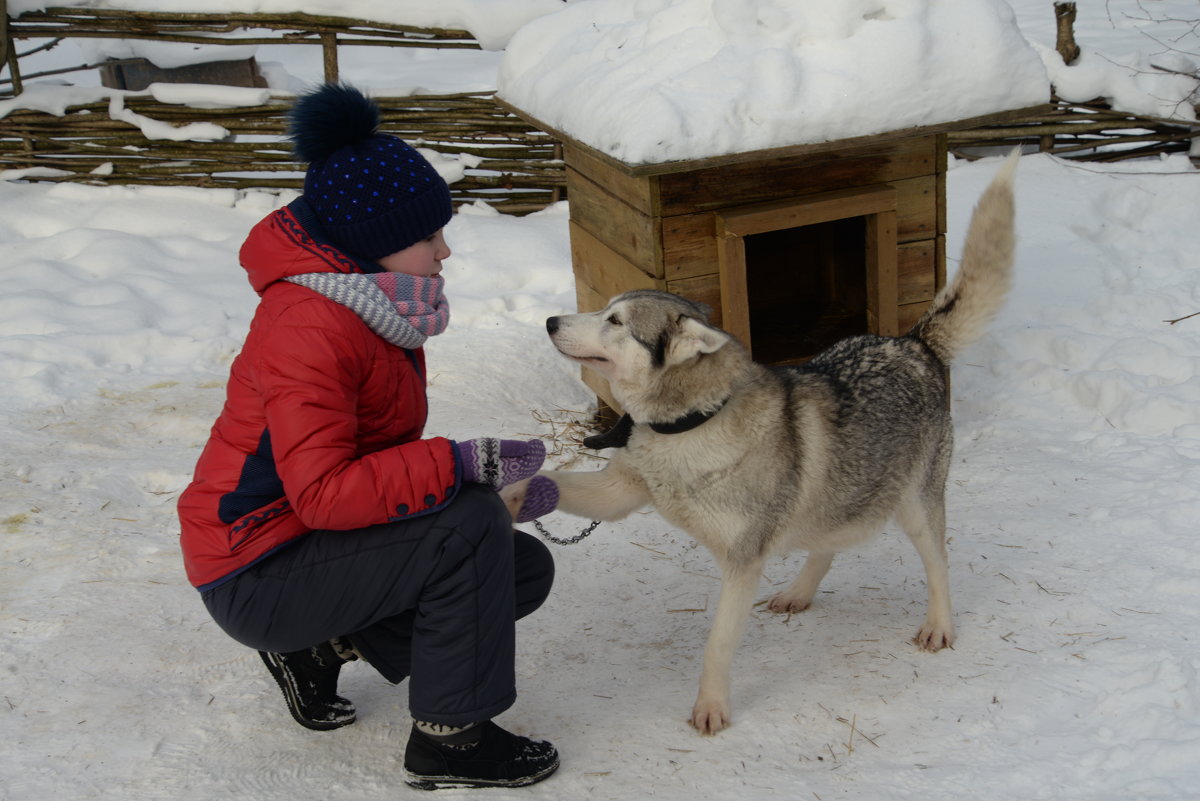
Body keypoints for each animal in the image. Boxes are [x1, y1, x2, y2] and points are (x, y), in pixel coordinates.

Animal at [523, 153, 1012, 733]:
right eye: (604, 308)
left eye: (615, 320)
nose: (550, 320)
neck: (691, 424)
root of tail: (912, 342)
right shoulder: (619, 492)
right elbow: (550, 481)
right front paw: (499, 486)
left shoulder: (742, 562)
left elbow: (716, 644)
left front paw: (712, 707)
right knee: (826, 544)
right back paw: (800, 592)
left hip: (915, 505)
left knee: (938, 563)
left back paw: (939, 624)